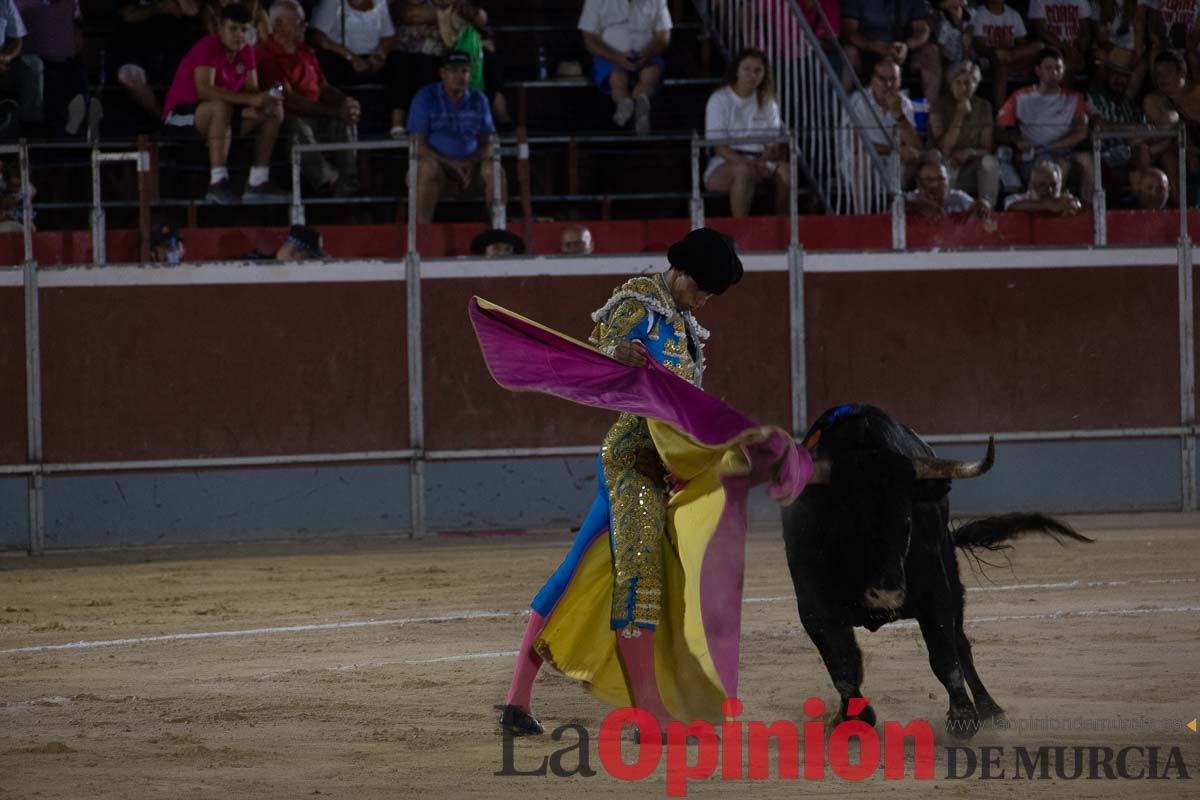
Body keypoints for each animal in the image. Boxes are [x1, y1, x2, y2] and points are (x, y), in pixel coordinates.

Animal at [782, 402, 1094, 743]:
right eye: (849, 523)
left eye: (906, 520)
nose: (886, 596)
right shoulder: (814, 608)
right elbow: (844, 665)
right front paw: (849, 717)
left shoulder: (936, 592)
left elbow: (945, 656)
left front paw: (962, 717)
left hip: (951, 575)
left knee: (961, 644)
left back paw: (991, 709)